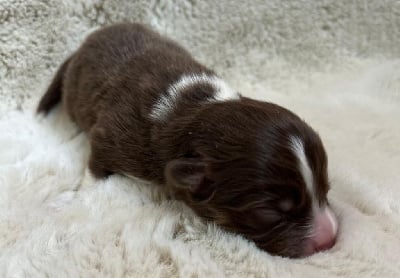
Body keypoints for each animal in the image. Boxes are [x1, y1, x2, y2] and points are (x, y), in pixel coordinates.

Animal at [37, 22, 338, 258]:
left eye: (326, 188)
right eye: (270, 212)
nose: (331, 238)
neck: (196, 107)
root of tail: (83, 45)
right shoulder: (110, 137)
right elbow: (94, 169)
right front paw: (80, 196)